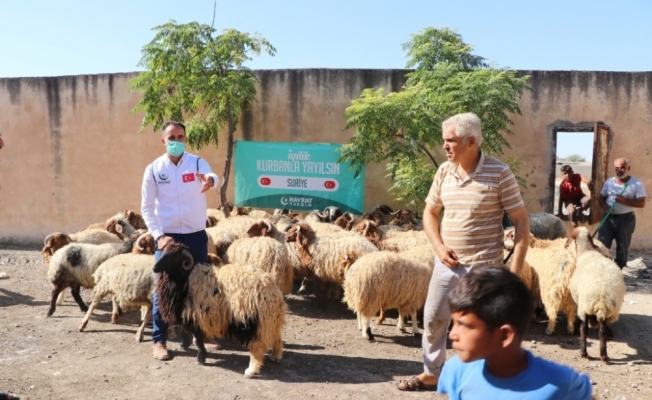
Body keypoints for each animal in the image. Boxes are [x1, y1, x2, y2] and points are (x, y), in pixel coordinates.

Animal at [153, 242, 286, 377]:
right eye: (164, 252)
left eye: (175, 257)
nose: (154, 268)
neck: (187, 278)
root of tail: (271, 291)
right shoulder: (189, 314)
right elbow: (188, 332)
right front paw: (184, 344)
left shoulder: (196, 316)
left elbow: (198, 339)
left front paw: (201, 357)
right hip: (270, 320)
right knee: (277, 337)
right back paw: (275, 356)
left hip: (251, 321)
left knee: (257, 347)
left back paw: (251, 370)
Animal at [567, 227, 625, 363]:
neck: (586, 252)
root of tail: (601, 301)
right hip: (610, 310)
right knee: (602, 330)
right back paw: (604, 355)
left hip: (585, 306)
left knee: (584, 329)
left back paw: (583, 353)